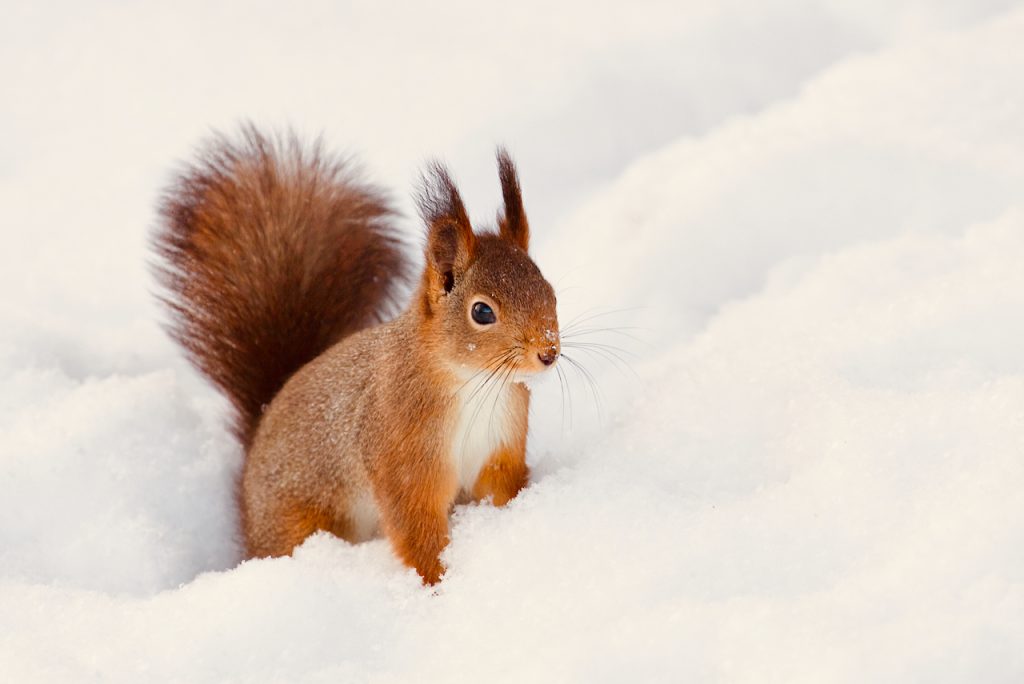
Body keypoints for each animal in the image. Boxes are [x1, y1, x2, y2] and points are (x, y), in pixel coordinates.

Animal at [153, 126, 561, 581]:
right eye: (482, 312)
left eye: (550, 290)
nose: (548, 352)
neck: (472, 382)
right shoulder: (402, 455)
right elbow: (415, 526)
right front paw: (437, 580)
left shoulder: (500, 448)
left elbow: (502, 491)